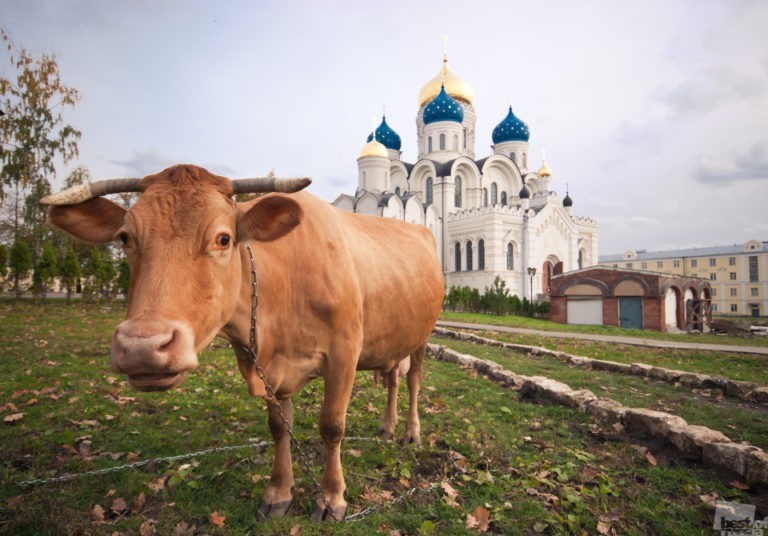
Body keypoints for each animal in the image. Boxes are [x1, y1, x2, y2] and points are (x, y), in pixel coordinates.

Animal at [45, 165, 444, 520]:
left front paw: (332, 499)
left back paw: (411, 431)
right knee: (393, 378)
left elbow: (332, 427)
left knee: (413, 381)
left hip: (423, 336)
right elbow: (279, 428)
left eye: (223, 238)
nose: (142, 347)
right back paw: (387, 426)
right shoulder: (270, 366)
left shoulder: (344, 353)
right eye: (125, 237)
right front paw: (278, 493)